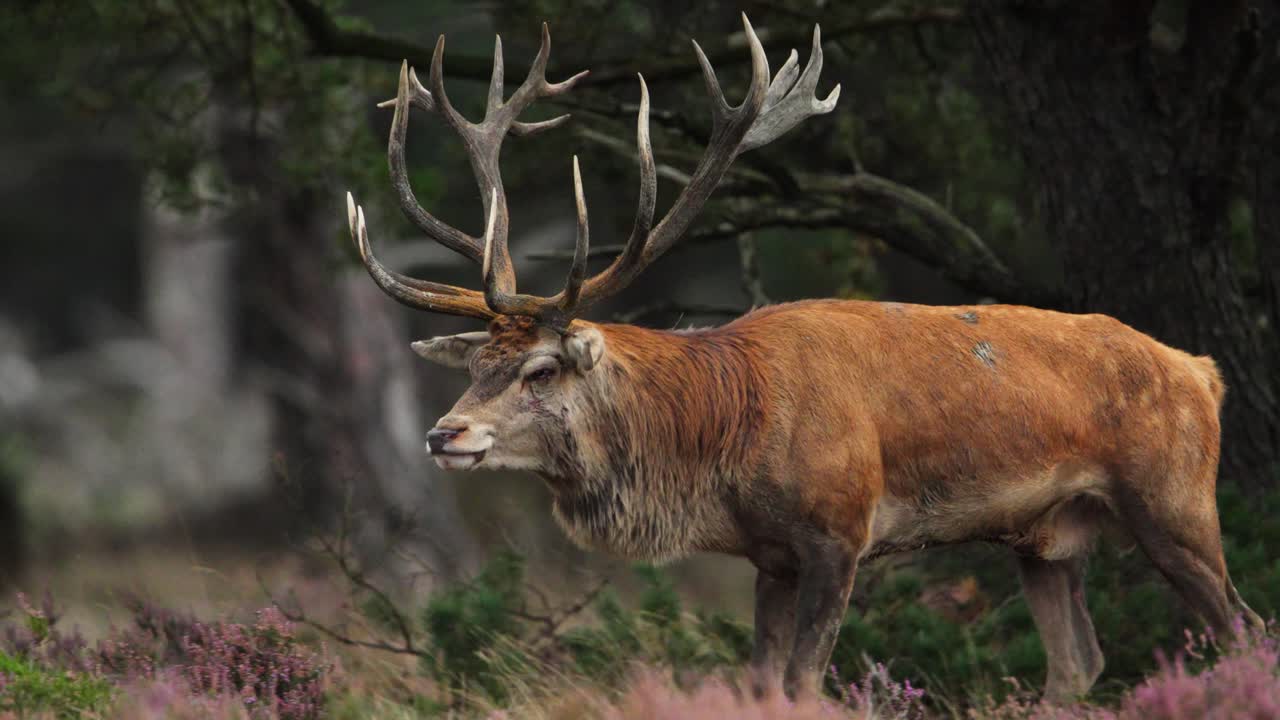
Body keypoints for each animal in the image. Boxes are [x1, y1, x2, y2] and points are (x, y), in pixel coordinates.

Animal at [343, 15, 1263, 701]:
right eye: (474, 369)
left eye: (540, 369)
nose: (444, 435)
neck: (723, 441)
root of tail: (1203, 372)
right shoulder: (771, 556)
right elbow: (762, 684)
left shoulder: (839, 530)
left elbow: (805, 683)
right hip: (1047, 538)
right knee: (1079, 663)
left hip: (1174, 496)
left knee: (1245, 628)